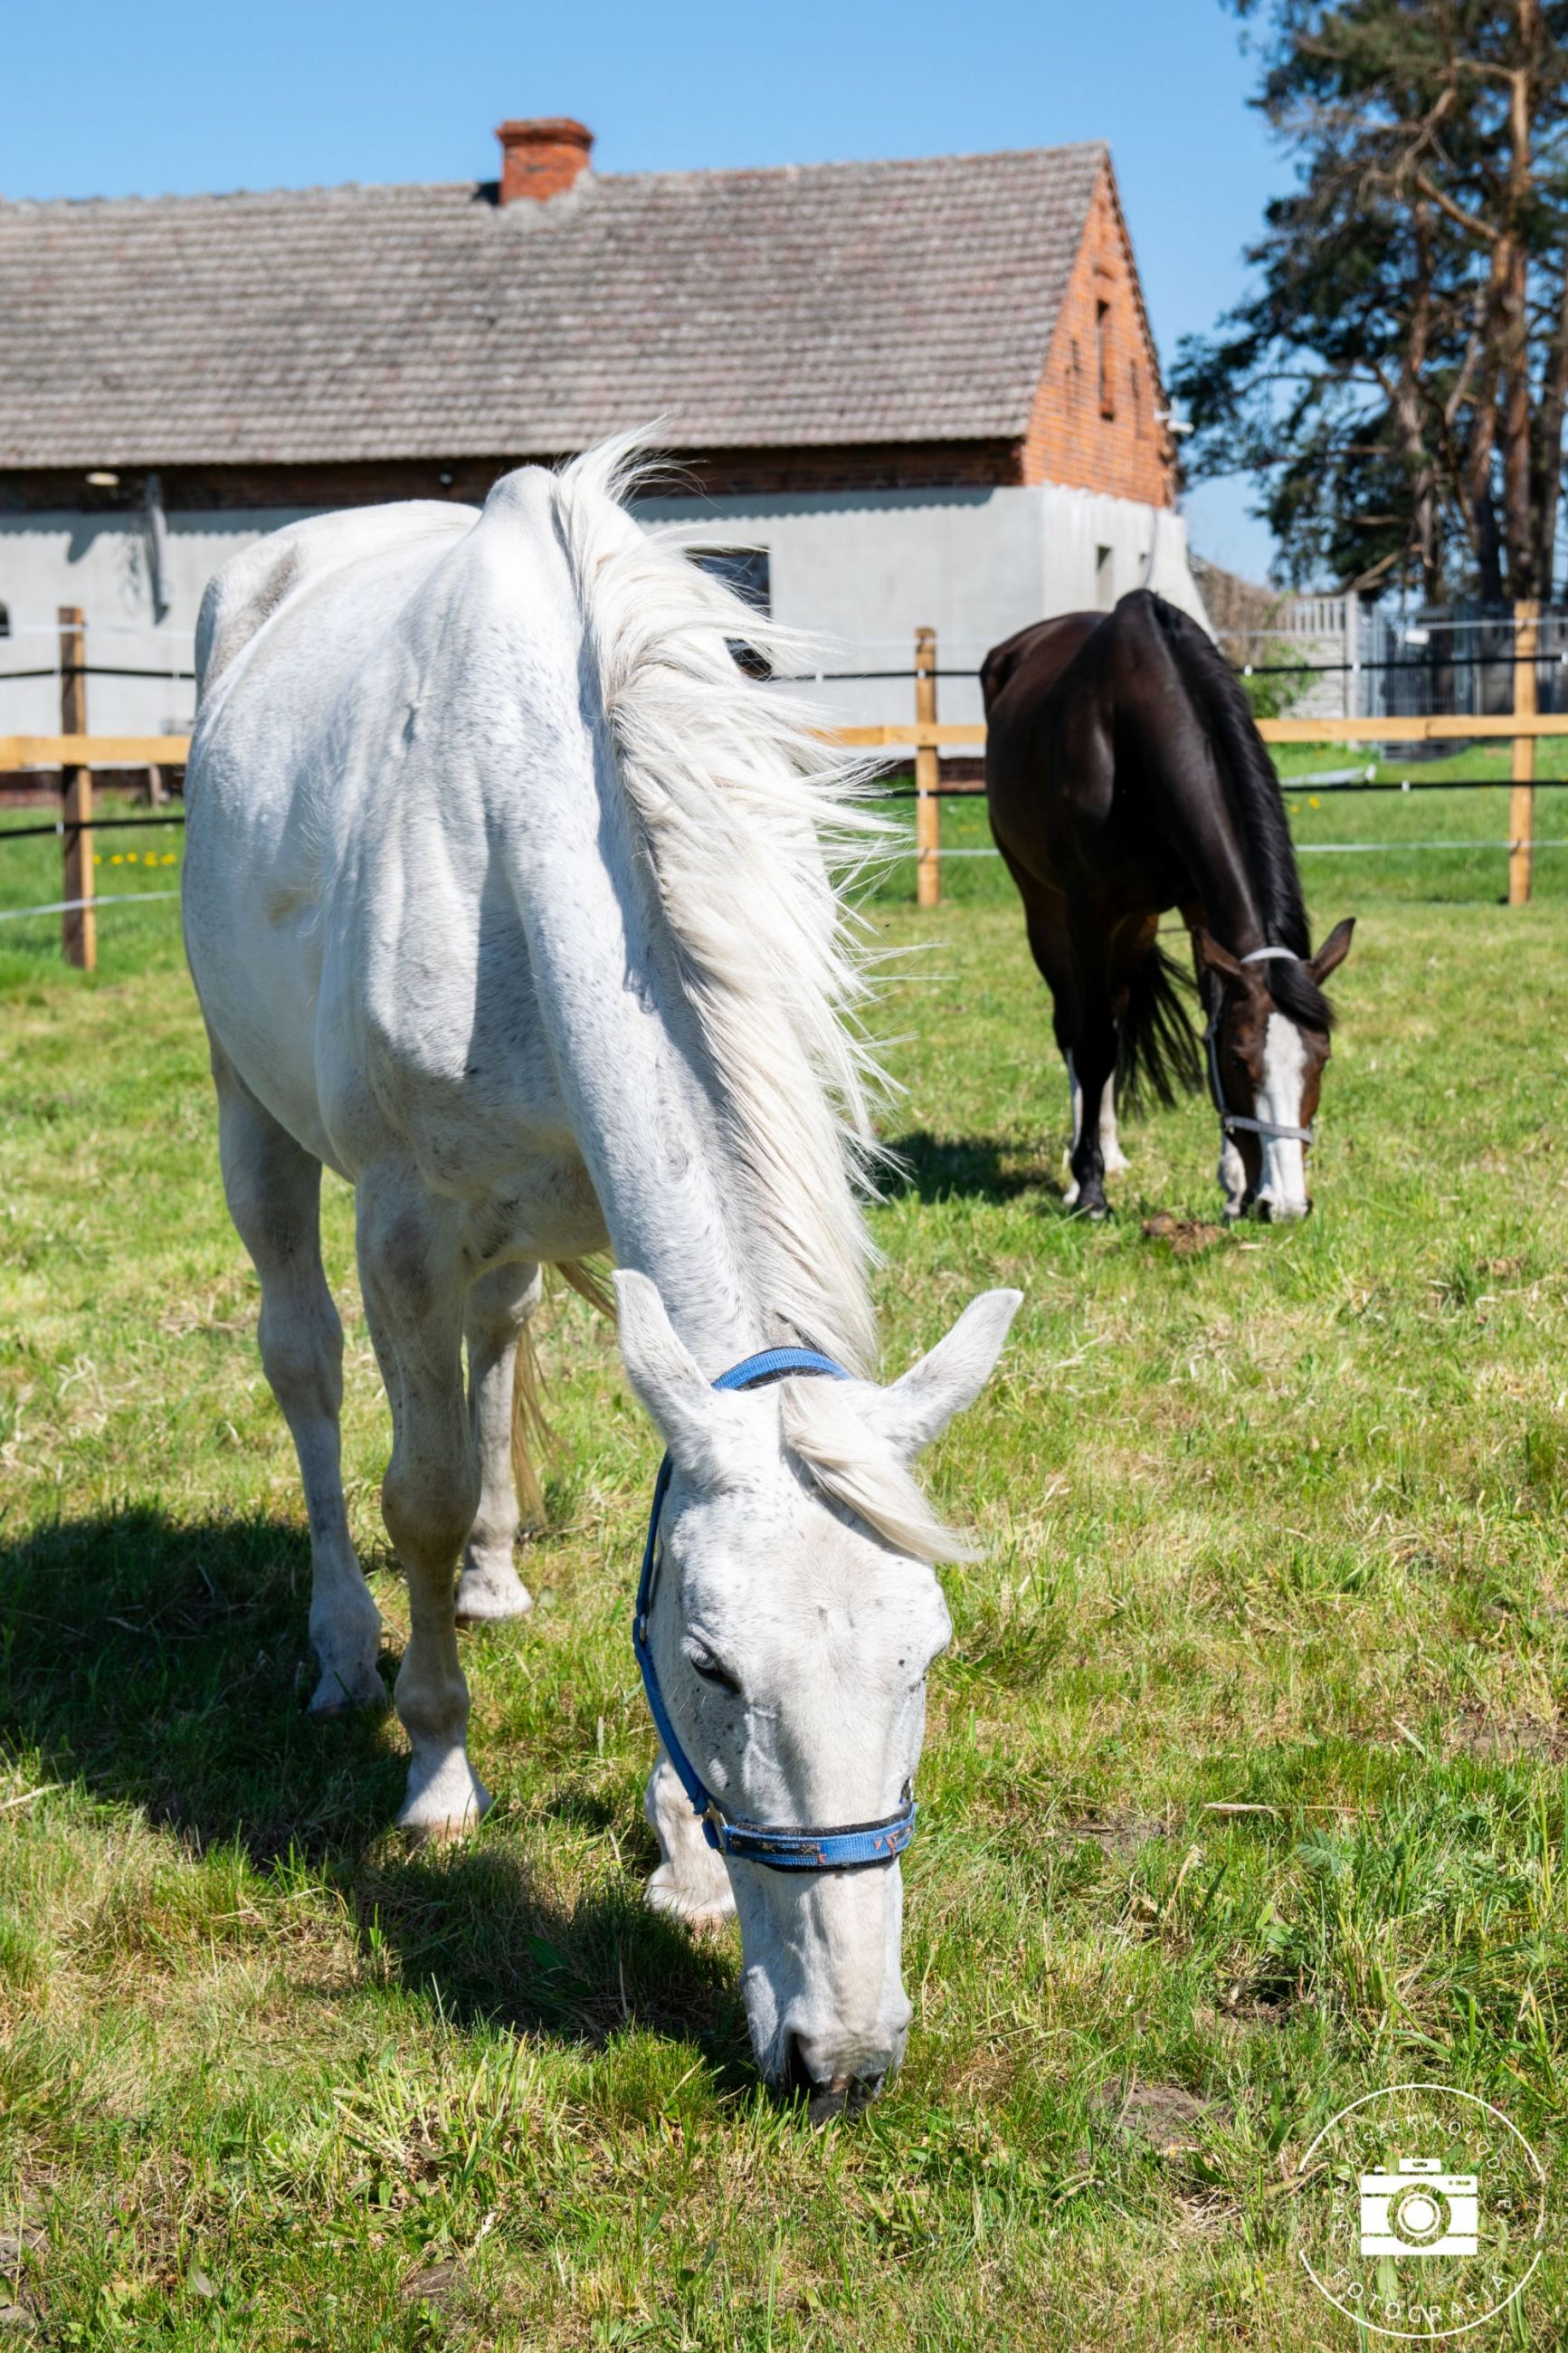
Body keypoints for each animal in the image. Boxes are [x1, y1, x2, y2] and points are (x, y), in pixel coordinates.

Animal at [184, 442, 1024, 2099]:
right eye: (714, 1667)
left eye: (925, 1657)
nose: (845, 2054)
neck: (516, 843)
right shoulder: (402, 1222)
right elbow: (421, 1493)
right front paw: (438, 1774)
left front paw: (684, 1858)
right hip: (258, 1124)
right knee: (305, 1369)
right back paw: (342, 1647)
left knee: (498, 1343)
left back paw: (501, 1582)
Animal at [987, 588, 1354, 1224]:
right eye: (1241, 1061)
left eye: (1322, 1058)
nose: (1284, 1205)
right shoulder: (1088, 908)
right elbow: (1092, 1044)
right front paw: (1090, 1189)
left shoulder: (1197, 906)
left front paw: (1235, 1185)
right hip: (1045, 904)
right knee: (1076, 1025)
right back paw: (1080, 1169)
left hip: (1138, 921)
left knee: (1111, 1012)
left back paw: (1111, 1149)